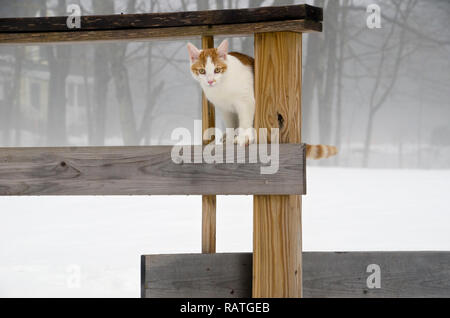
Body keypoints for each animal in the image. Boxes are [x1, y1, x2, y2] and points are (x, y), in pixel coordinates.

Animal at [187, 39, 338, 159]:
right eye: (202, 71)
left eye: (217, 70)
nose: (210, 81)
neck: (222, 88)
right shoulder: (226, 109)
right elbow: (230, 124)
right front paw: (229, 139)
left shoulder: (246, 101)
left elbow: (245, 121)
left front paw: (243, 137)